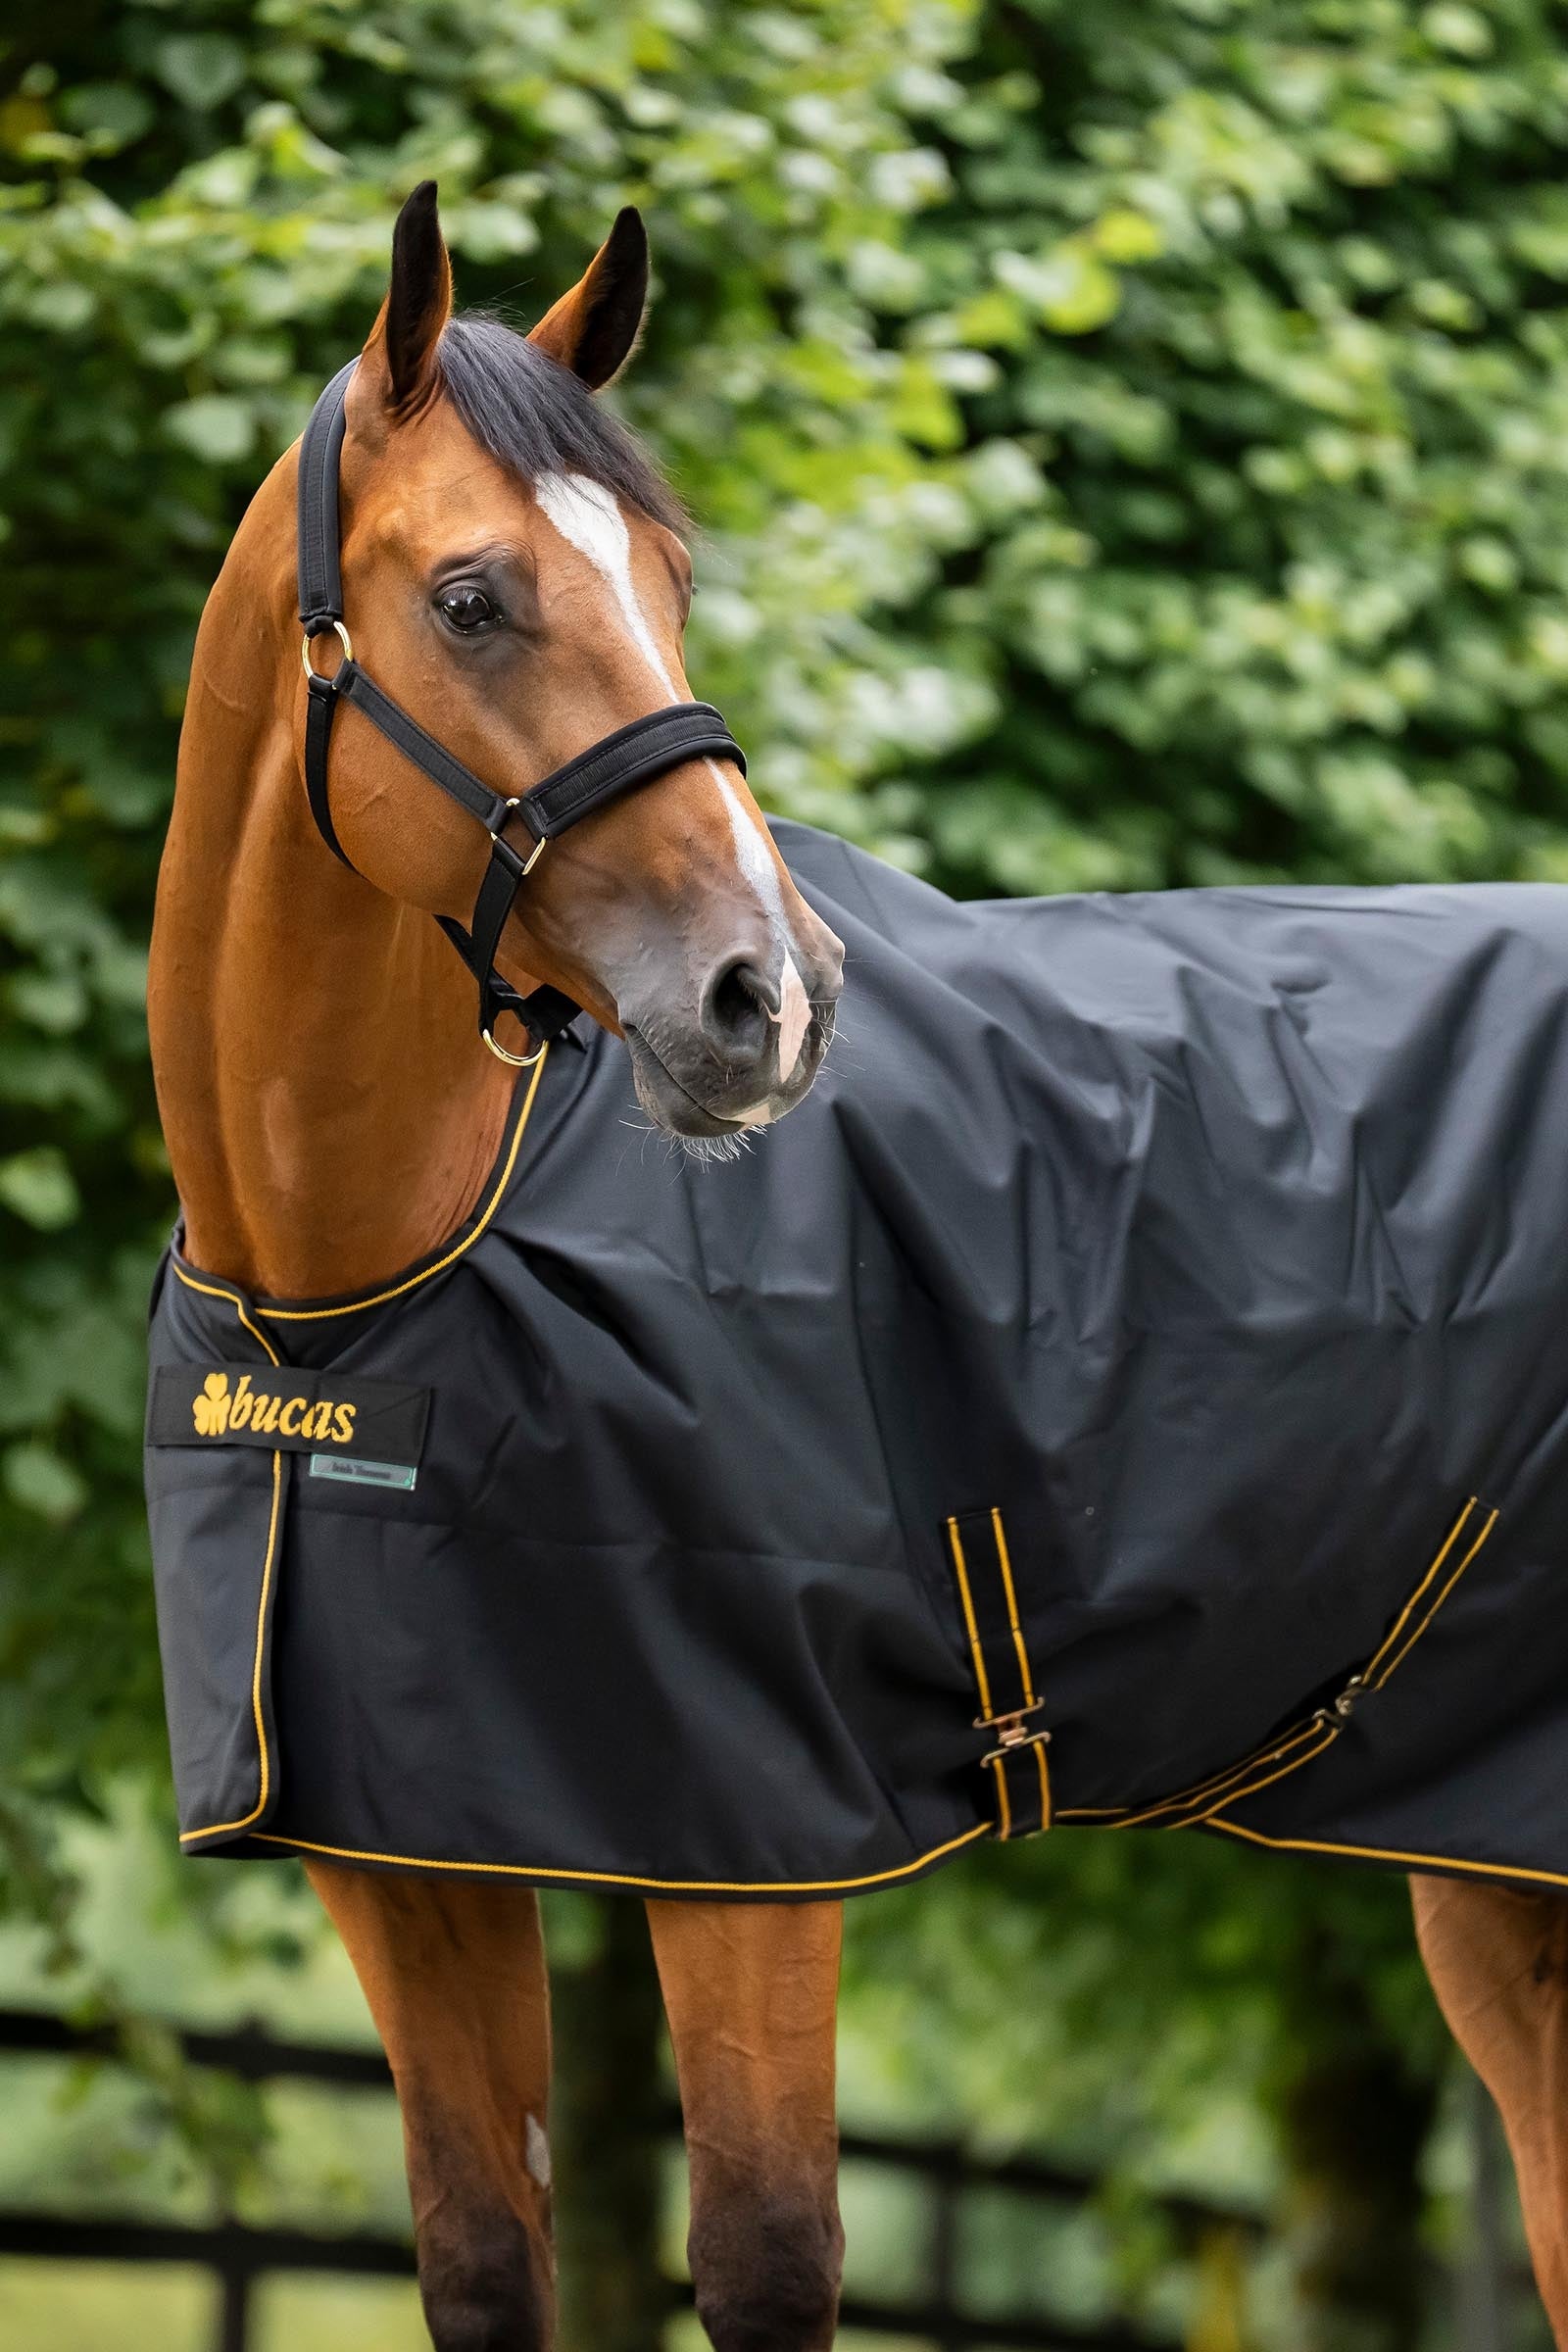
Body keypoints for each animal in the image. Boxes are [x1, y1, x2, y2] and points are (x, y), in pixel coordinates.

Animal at [147, 183, 1568, 2351]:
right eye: (470, 598)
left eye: (668, 576)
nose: (768, 997)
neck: (365, 1295)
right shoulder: (405, 1855)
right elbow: (479, 2259)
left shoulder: (755, 1841)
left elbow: (763, 2258)